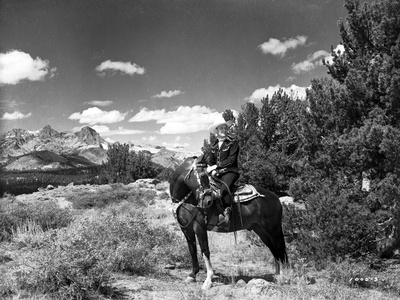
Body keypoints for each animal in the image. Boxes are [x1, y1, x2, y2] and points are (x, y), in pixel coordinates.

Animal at [169, 156, 288, 290]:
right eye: (203, 176)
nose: (208, 201)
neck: (187, 200)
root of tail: (276, 198)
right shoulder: (186, 230)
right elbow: (192, 250)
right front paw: (192, 275)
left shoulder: (199, 227)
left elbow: (205, 251)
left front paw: (208, 281)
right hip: (261, 230)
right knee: (274, 250)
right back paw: (277, 276)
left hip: (273, 229)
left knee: (279, 249)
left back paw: (282, 277)